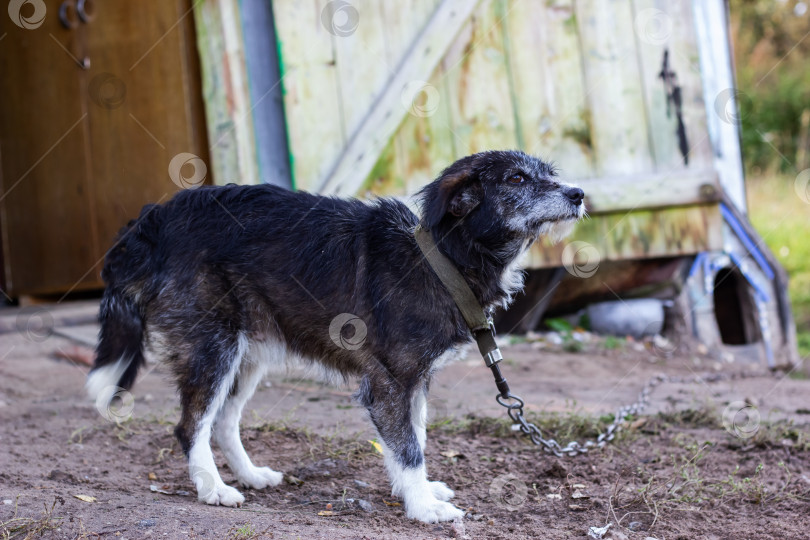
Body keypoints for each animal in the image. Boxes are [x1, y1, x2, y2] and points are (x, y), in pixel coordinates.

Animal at [87, 150, 580, 520]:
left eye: (551, 174)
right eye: (516, 178)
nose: (578, 193)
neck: (440, 258)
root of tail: (154, 220)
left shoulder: (416, 382)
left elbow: (415, 439)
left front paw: (418, 492)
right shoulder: (389, 383)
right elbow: (408, 449)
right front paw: (423, 507)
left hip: (249, 352)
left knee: (224, 420)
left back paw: (250, 475)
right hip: (213, 347)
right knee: (191, 425)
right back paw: (215, 490)